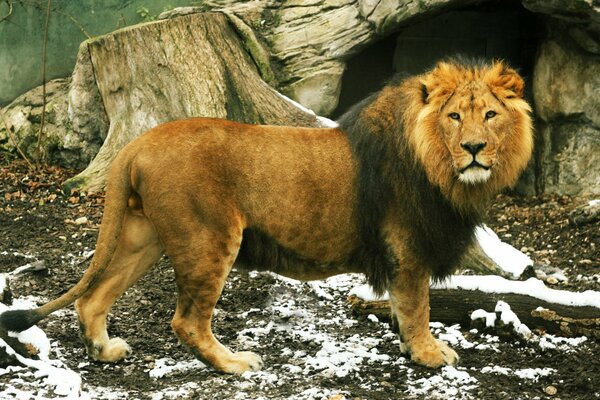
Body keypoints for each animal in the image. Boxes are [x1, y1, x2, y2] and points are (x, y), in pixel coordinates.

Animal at [1, 57, 536, 374]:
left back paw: (105, 350)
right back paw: (234, 363)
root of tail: (138, 142)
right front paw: (428, 355)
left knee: (93, 298)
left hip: (143, 235)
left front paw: (414, 350)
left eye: (490, 115)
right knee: (186, 321)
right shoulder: (406, 246)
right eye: (454, 117)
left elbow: (407, 309)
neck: (441, 169)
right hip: (208, 238)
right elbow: (417, 306)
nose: (474, 149)